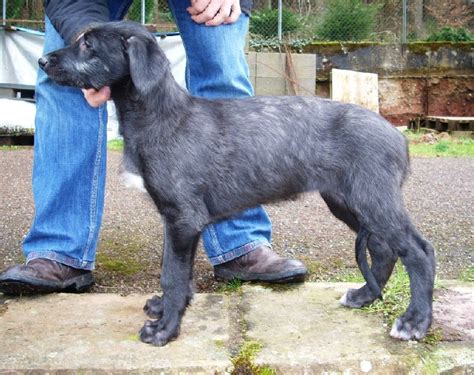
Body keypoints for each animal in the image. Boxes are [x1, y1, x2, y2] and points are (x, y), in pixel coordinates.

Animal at [39, 22, 436, 348]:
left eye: (88, 44)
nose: (42, 61)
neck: (162, 116)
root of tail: (399, 138)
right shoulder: (175, 220)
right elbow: (173, 271)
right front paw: (165, 309)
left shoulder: (183, 218)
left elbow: (173, 275)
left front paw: (165, 329)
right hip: (347, 201)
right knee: (384, 249)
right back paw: (363, 296)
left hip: (372, 199)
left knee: (418, 252)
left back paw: (415, 322)